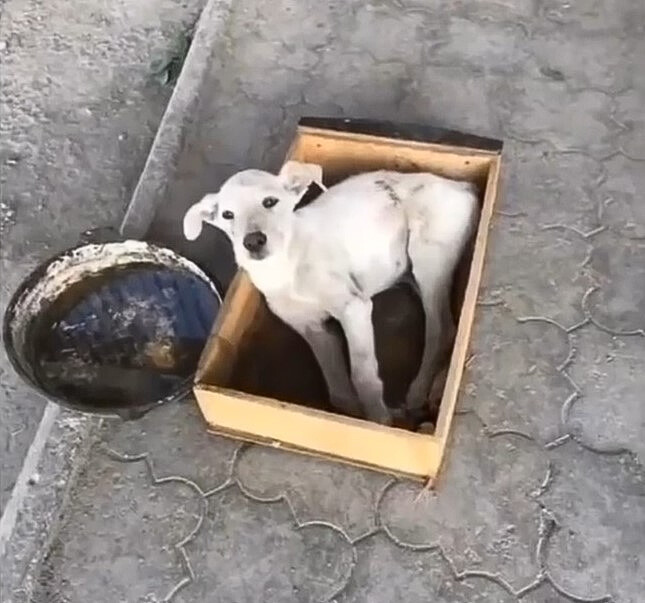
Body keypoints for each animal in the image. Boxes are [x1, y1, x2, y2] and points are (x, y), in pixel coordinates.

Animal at [184, 160, 476, 424]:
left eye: (269, 202)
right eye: (227, 215)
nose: (253, 241)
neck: (287, 266)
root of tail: (462, 186)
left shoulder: (353, 308)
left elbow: (363, 376)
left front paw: (379, 421)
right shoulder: (312, 329)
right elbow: (339, 392)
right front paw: (356, 414)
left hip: (428, 257)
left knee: (441, 329)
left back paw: (419, 391)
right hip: (411, 272)